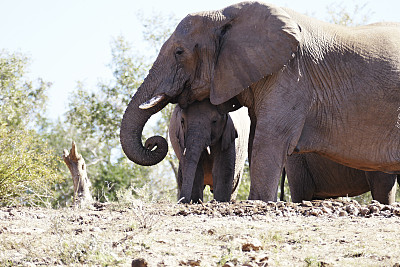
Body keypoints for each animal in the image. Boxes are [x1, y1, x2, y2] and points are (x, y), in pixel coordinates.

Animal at [120, 1, 400, 203]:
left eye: (179, 52)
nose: (153, 142)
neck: (225, 14)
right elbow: (257, 138)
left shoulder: (291, 76)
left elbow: (268, 139)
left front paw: (258, 202)